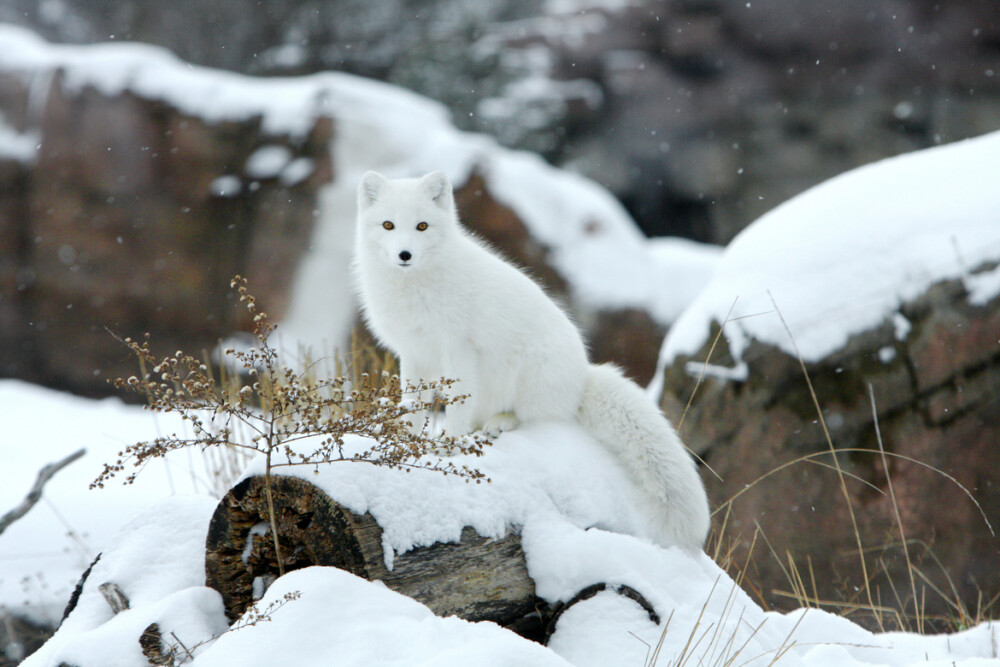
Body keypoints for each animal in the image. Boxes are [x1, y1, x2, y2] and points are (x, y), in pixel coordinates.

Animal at [354, 170, 712, 552]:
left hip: (529, 373)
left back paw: (500, 422)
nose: (404, 254)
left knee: (533, 418)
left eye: (422, 226)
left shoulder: (458, 348)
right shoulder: (414, 354)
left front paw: (450, 446)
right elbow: (413, 405)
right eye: (388, 224)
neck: (414, 288)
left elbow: (457, 407)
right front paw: (405, 442)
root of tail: (583, 378)